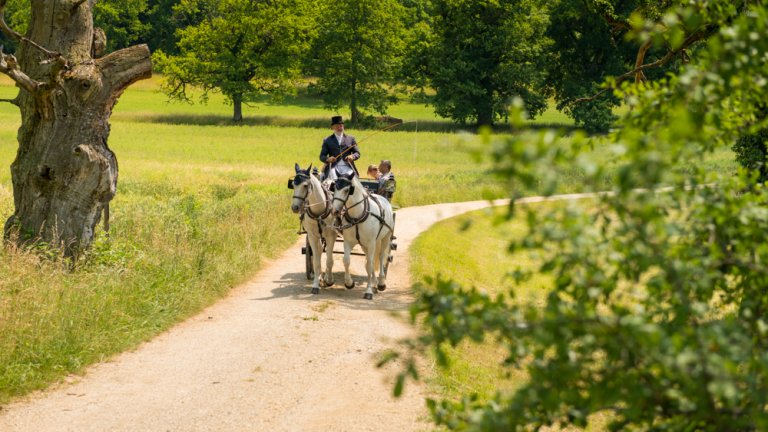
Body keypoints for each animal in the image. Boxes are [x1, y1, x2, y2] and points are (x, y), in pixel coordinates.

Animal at [288, 163, 336, 294]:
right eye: (293, 184)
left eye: (305, 185)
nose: (295, 207)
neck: (319, 210)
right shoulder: (312, 236)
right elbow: (316, 261)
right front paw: (315, 284)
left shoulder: (331, 236)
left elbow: (329, 260)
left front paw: (329, 280)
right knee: (318, 252)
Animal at [330, 172, 396, 300]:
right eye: (334, 187)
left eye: (347, 190)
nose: (334, 211)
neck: (358, 216)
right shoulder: (348, 242)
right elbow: (346, 260)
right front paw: (349, 283)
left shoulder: (371, 243)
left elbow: (370, 265)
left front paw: (368, 291)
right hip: (365, 245)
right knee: (370, 260)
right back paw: (375, 283)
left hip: (385, 238)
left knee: (381, 258)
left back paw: (381, 283)